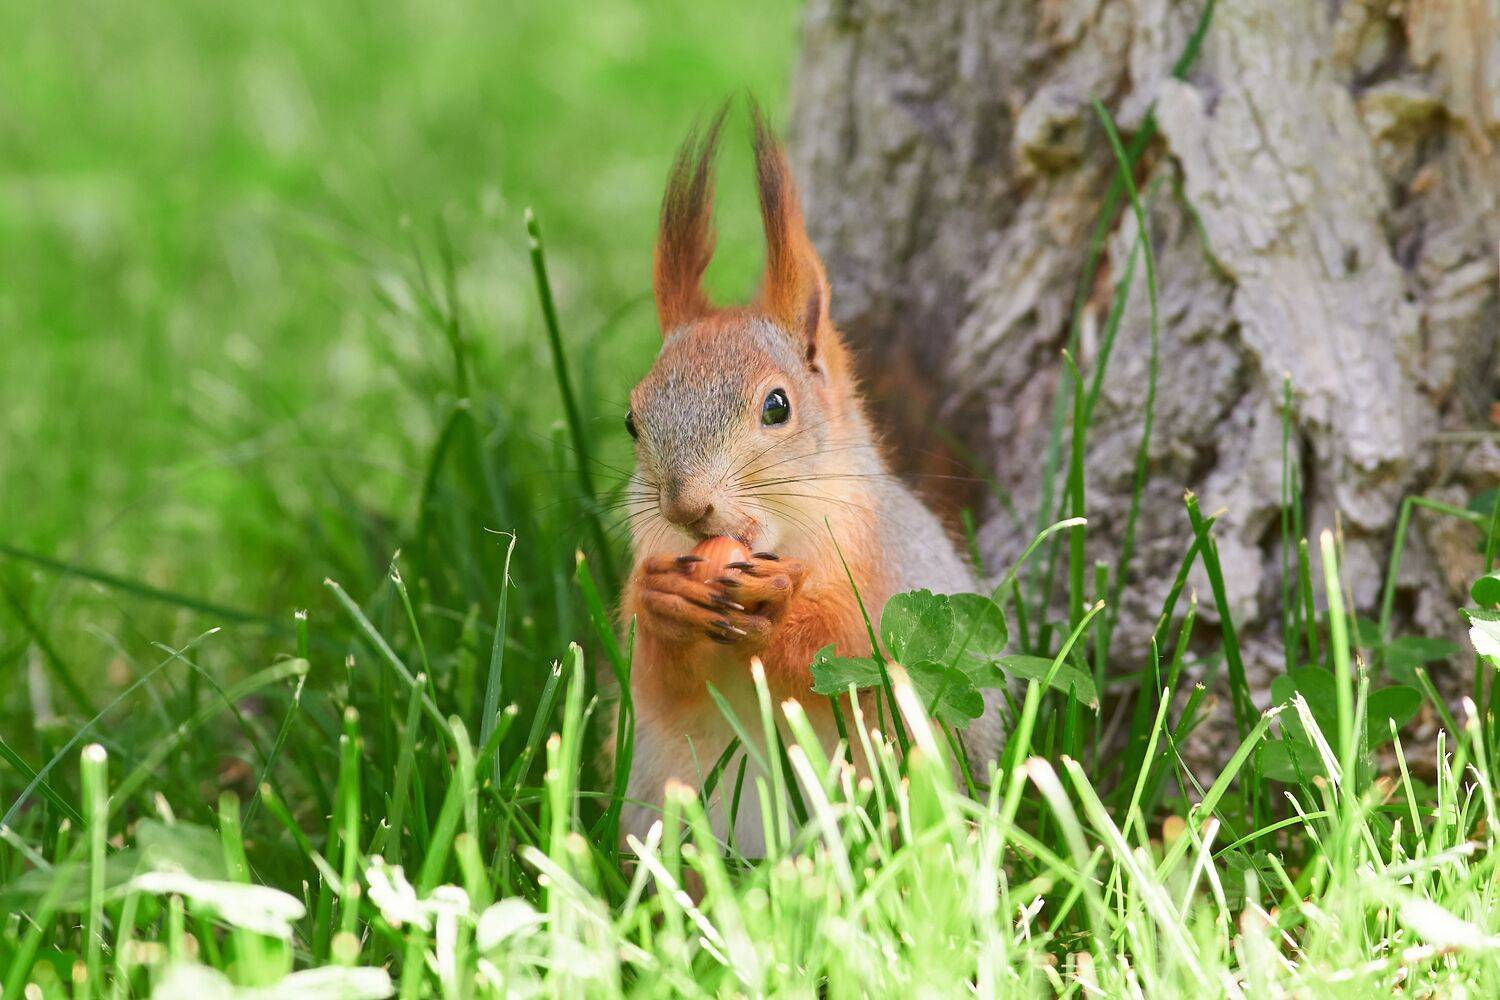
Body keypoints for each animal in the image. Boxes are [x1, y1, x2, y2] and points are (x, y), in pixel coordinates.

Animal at [616, 105, 1003, 855]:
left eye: (777, 405)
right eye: (631, 420)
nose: (686, 505)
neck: (784, 540)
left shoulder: (887, 573)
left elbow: (857, 654)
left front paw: (779, 606)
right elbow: (656, 681)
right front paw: (664, 601)